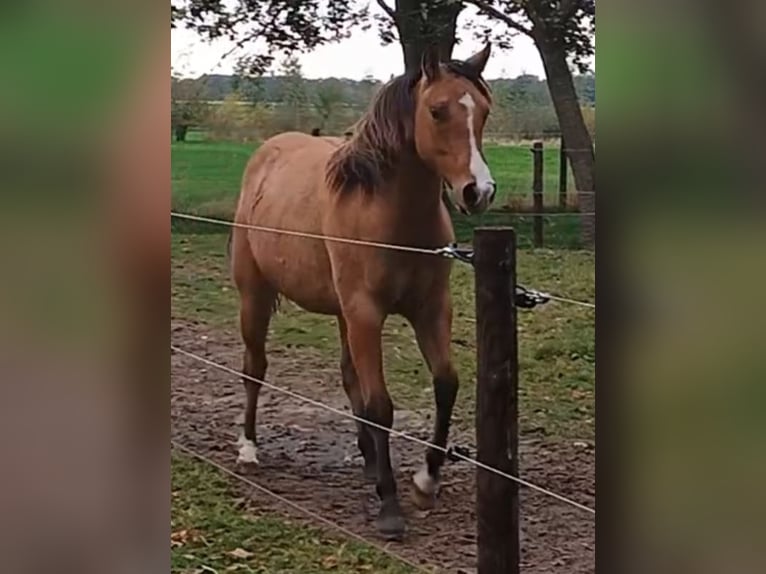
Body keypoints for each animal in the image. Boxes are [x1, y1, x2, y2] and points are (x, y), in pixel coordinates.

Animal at [231, 44, 498, 540]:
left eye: (484, 111)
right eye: (437, 111)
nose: (479, 191)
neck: (387, 213)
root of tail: (268, 152)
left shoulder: (431, 310)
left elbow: (445, 383)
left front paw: (426, 480)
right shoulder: (365, 313)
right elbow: (379, 405)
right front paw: (390, 508)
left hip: (341, 315)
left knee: (347, 375)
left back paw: (371, 462)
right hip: (254, 297)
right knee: (254, 369)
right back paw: (248, 448)